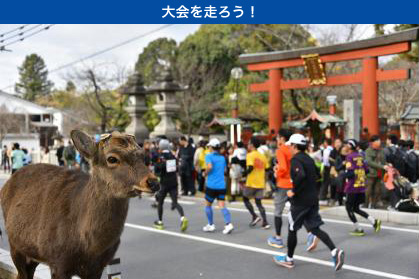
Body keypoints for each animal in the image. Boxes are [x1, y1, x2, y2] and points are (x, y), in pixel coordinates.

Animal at [0, 130, 160, 279]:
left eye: (143, 156)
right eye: (112, 158)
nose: (153, 182)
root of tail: (6, 185)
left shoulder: (99, 267)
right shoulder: (58, 262)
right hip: (15, 246)